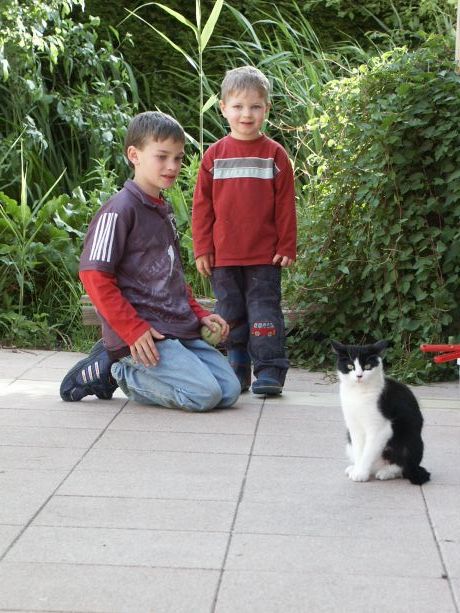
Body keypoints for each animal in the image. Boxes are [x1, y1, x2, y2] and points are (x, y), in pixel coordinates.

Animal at [331, 339, 430, 485]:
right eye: (350, 366)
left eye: (367, 366)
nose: (359, 376)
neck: (358, 394)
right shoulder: (354, 427)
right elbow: (359, 450)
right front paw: (358, 469)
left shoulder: (380, 428)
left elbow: (368, 452)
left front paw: (361, 474)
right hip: (349, 441)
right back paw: (355, 467)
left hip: (409, 438)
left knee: (403, 466)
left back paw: (386, 472)